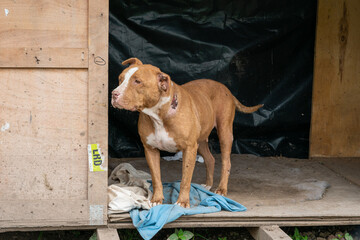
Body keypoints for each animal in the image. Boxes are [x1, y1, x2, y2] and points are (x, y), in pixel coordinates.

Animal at [111, 57, 262, 207]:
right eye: (120, 79)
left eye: (137, 81)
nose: (114, 94)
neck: (159, 114)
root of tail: (225, 88)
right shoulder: (150, 149)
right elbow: (156, 178)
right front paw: (157, 199)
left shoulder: (189, 148)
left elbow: (185, 179)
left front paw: (182, 202)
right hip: (200, 141)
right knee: (210, 159)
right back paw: (208, 185)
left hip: (224, 133)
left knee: (226, 163)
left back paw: (221, 189)